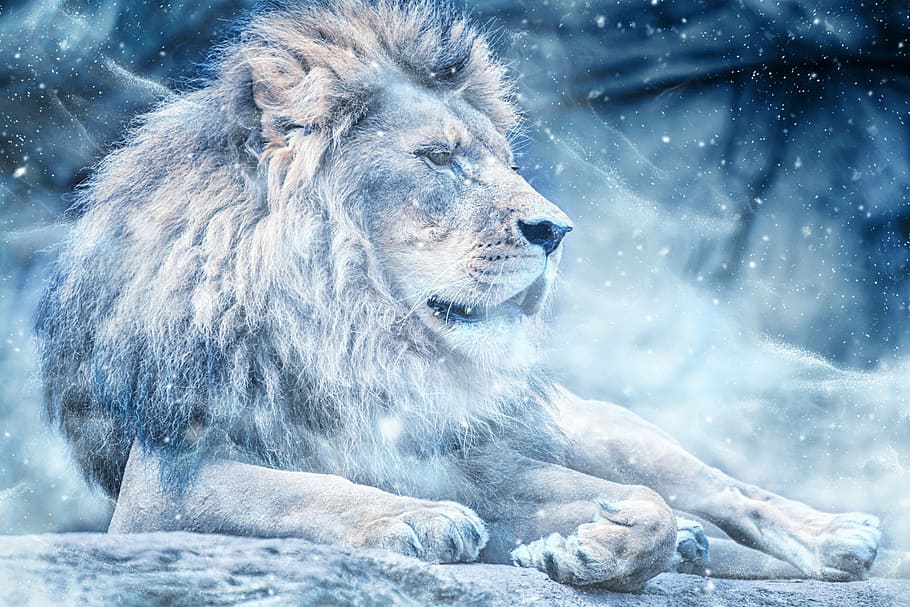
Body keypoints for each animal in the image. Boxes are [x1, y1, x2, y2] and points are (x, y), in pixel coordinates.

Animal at [36, 0, 883, 590]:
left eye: (504, 162)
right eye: (439, 160)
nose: (556, 229)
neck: (355, 337)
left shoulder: (483, 463)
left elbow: (649, 503)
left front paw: (595, 545)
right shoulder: (164, 483)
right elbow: (297, 490)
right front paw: (420, 520)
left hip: (601, 425)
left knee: (723, 489)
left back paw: (837, 534)